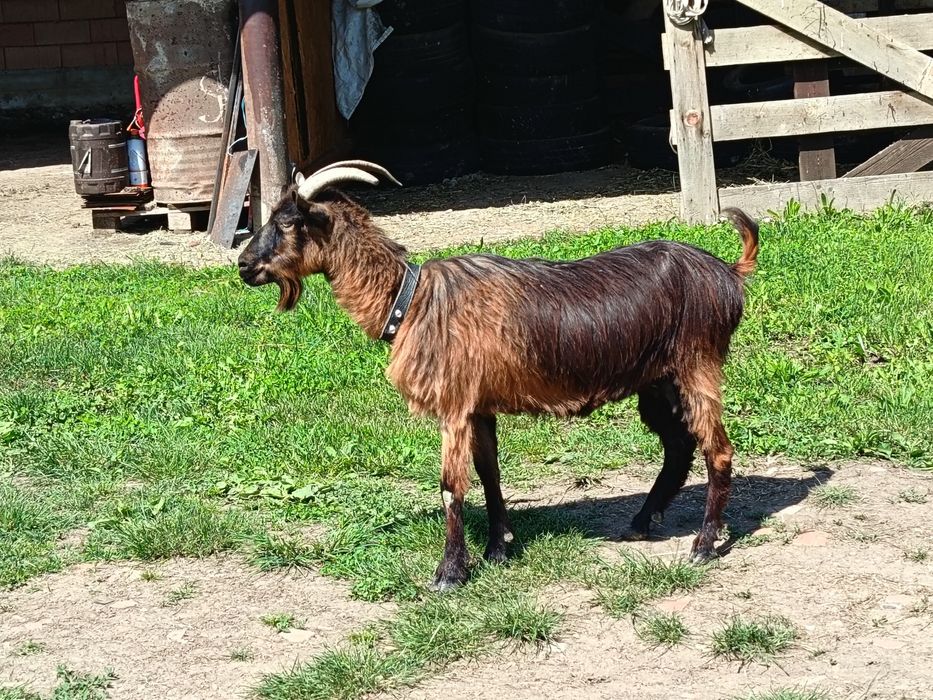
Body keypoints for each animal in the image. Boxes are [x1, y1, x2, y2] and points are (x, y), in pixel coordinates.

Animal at [238, 161, 760, 591]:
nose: (243, 265)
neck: (409, 300)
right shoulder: (479, 407)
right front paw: (498, 548)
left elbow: (451, 488)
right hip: (657, 381)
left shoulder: (453, 406)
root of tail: (729, 273)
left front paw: (450, 573)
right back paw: (642, 520)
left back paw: (703, 545)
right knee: (679, 444)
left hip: (697, 363)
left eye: (286, 223)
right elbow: (489, 474)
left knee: (717, 449)